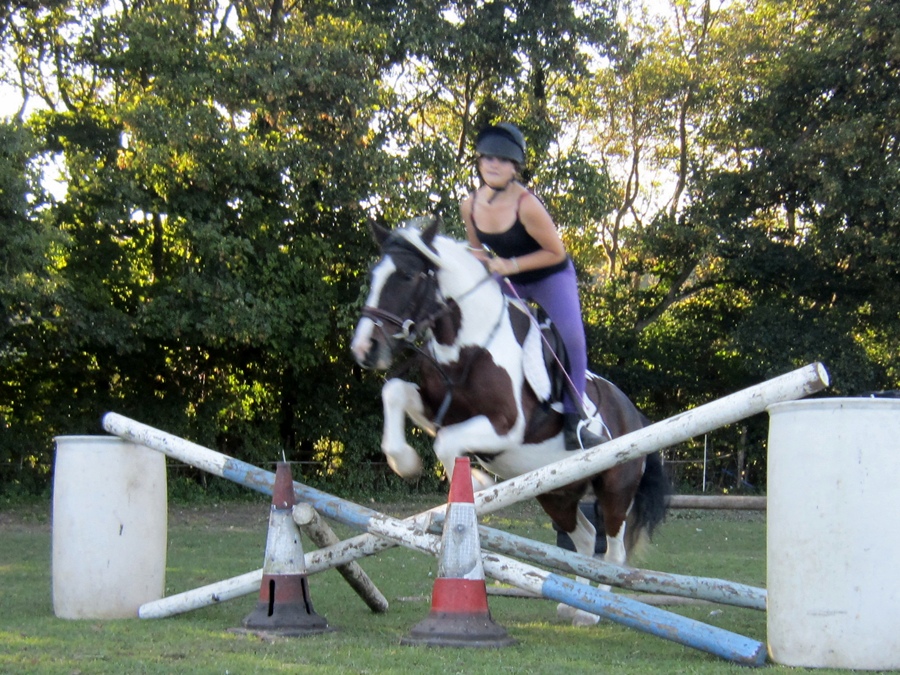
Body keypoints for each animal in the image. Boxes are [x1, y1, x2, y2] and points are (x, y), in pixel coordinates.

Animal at [351, 216, 669, 625]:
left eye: (406, 276)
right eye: (373, 275)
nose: (365, 349)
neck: (468, 344)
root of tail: (635, 412)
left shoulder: (505, 425)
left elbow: (446, 442)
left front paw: (477, 482)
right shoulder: (439, 409)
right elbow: (395, 393)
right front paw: (405, 462)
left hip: (615, 488)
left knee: (613, 551)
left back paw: (594, 612)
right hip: (557, 492)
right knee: (583, 539)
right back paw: (574, 603)